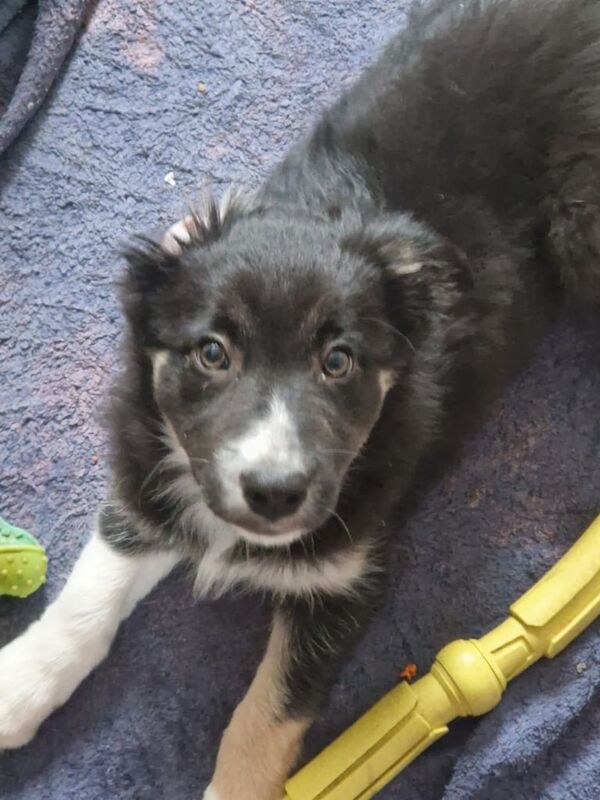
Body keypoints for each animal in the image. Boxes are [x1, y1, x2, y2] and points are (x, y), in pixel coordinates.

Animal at [1, 1, 600, 800]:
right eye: (212, 353)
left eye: (338, 362)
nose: (275, 493)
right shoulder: (151, 466)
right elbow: (94, 585)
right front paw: (20, 685)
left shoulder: (347, 577)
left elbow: (267, 713)